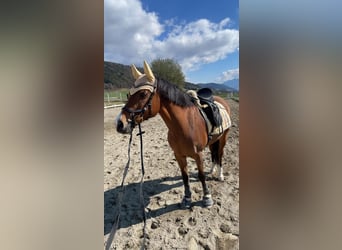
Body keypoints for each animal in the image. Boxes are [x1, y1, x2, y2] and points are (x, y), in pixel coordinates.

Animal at [116, 60, 231, 207]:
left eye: (143, 94)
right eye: (128, 94)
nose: (120, 124)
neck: (184, 126)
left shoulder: (198, 155)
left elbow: (201, 175)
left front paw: (207, 198)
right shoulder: (178, 155)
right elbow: (185, 176)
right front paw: (187, 198)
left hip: (223, 138)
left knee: (220, 155)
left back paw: (220, 175)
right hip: (213, 141)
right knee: (213, 154)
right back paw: (212, 170)